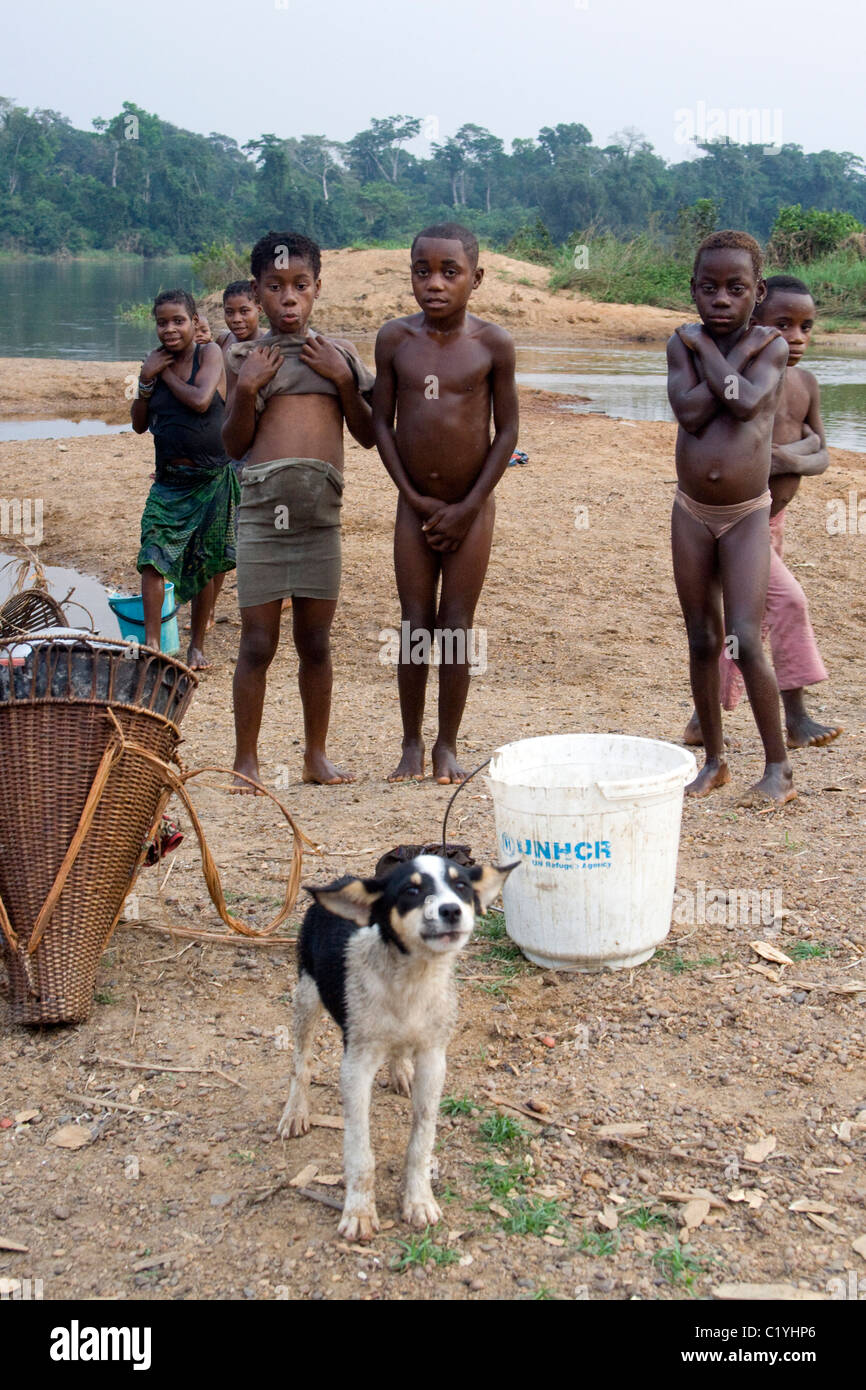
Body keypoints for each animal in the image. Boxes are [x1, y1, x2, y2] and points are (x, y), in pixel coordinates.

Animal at [280, 850, 517, 1245]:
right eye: (411, 891)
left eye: (461, 886)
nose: (451, 910)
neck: (412, 980)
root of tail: (344, 879)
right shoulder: (355, 1066)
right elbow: (359, 1151)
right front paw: (359, 1212)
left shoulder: (434, 1059)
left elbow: (421, 1141)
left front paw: (418, 1201)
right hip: (306, 996)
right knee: (302, 1062)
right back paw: (295, 1111)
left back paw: (400, 1071)